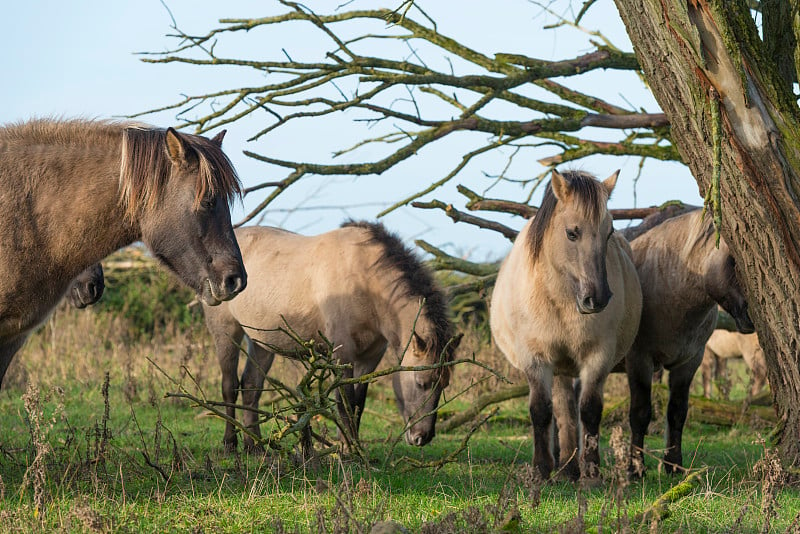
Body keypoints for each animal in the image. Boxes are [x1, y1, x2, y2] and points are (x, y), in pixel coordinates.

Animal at [203, 221, 460, 452]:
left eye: (444, 385)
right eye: (421, 383)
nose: (422, 437)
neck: (365, 281)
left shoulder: (370, 357)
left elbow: (358, 404)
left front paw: (354, 446)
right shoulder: (342, 353)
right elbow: (344, 402)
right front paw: (348, 450)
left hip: (262, 343)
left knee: (251, 387)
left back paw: (254, 446)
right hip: (226, 332)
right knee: (230, 386)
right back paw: (230, 443)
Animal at [624, 208, 756, 478]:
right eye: (734, 258)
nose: (753, 316)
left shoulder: (688, 362)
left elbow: (677, 413)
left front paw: (674, 465)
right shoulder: (638, 360)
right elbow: (640, 413)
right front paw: (635, 469)